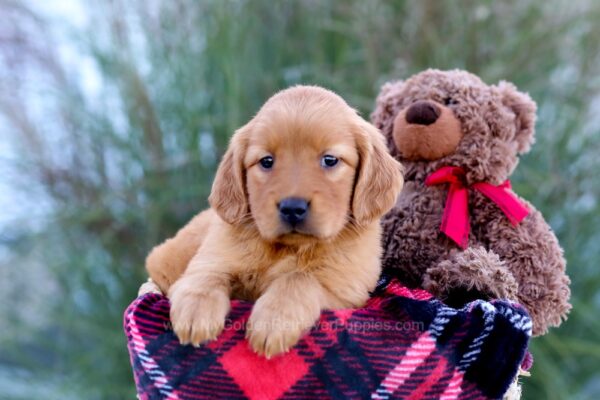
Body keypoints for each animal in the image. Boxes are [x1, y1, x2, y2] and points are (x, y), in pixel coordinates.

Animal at [145, 86, 404, 358]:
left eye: (330, 160)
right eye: (267, 161)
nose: (292, 208)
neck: (287, 248)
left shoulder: (347, 288)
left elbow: (298, 279)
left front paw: (273, 321)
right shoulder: (212, 257)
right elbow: (206, 275)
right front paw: (196, 311)